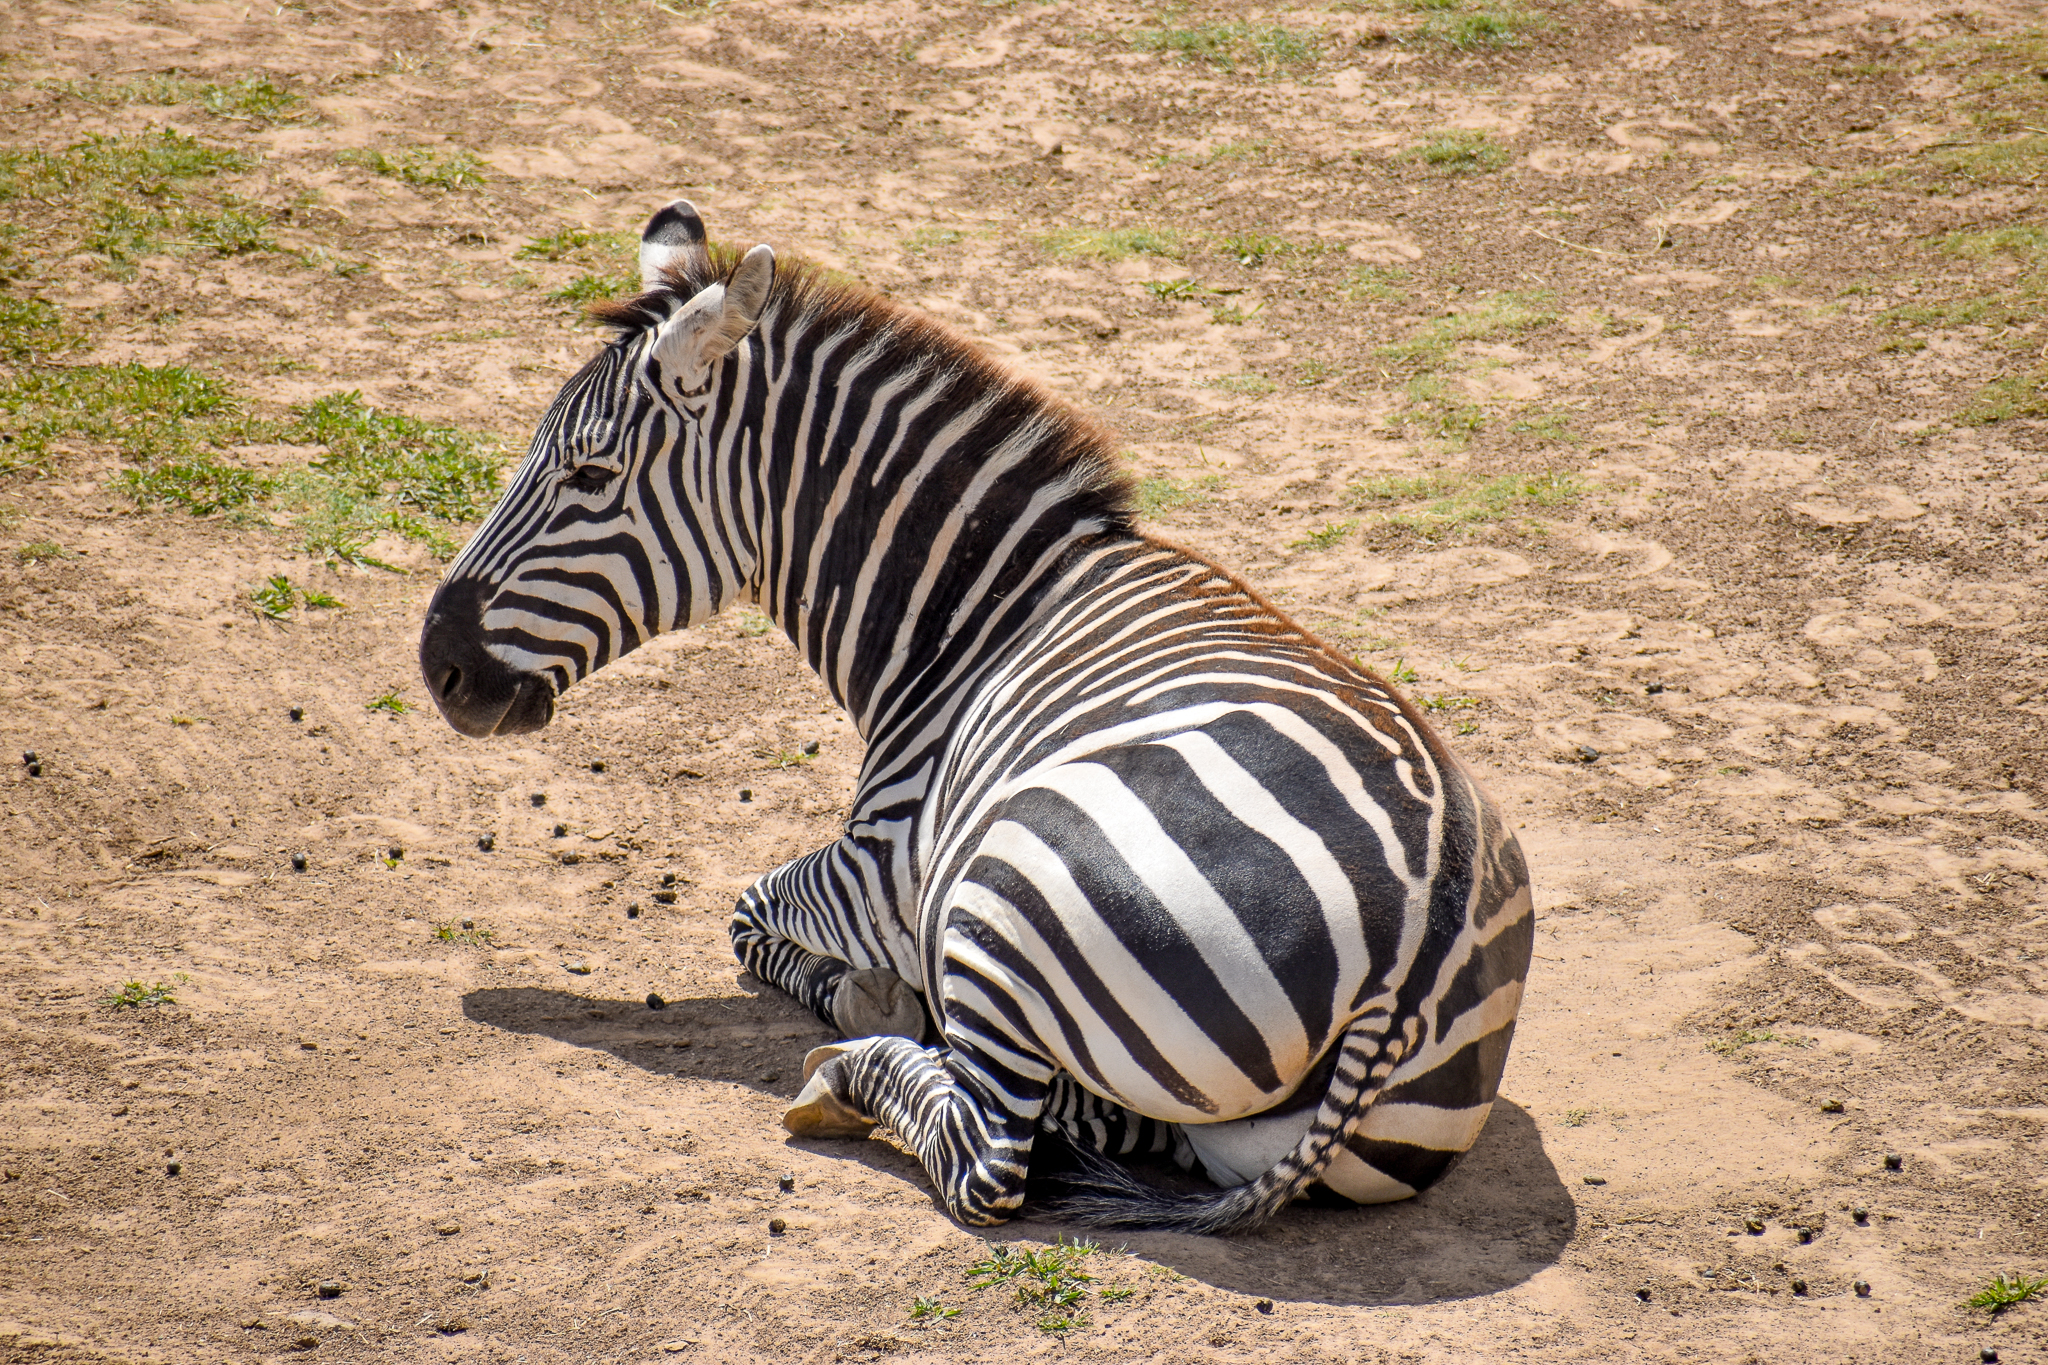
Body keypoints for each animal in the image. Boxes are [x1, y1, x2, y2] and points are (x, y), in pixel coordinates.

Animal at [418, 200, 1534, 1233]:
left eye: (590, 475)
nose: (439, 667)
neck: (974, 611)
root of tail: (1416, 947)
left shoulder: (880, 868)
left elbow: (743, 909)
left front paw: (864, 992)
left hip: (1007, 887)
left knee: (991, 1158)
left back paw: (854, 1070)